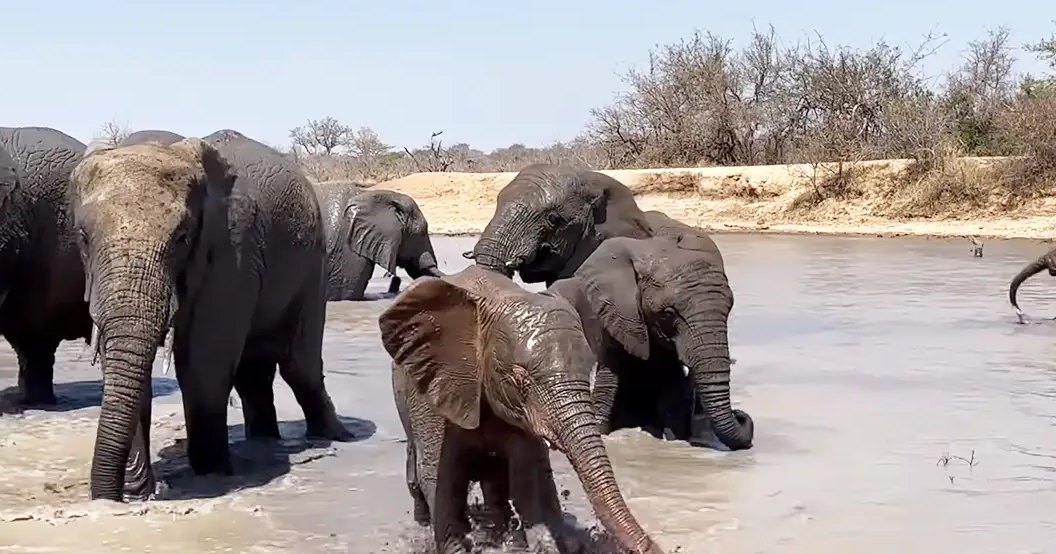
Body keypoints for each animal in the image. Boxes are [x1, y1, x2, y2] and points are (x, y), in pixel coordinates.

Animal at [70, 130, 354, 502]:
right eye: (83, 238)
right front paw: (136, 494)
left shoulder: (233, 250)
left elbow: (203, 362)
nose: (107, 497)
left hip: (313, 266)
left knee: (299, 365)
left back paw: (337, 436)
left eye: (182, 238)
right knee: (254, 373)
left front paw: (212, 477)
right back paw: (264, 441)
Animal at [379, 265, 664, 554]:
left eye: (588, 371)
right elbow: (439, 476)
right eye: (519, 378)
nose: (655, 546)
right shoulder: (437, 384)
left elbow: (526, 475)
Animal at [562, 211, 754, 451]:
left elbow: (671, 384)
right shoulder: (613, 312)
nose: (740, 415)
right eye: (668, 313)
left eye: (730, 307)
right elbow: (610, 374)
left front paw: (672, 437)